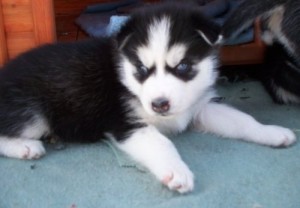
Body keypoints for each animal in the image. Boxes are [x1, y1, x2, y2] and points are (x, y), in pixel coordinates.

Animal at [0, 4, 296, 193]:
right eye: (142, 69)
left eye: (183, 67)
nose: (159, 104)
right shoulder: (127, 123)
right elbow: (162, 143)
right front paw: (177, 171)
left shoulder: (200, 107)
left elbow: (243, 120)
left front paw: (272, 132)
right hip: (33, 114)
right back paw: (25, 147)